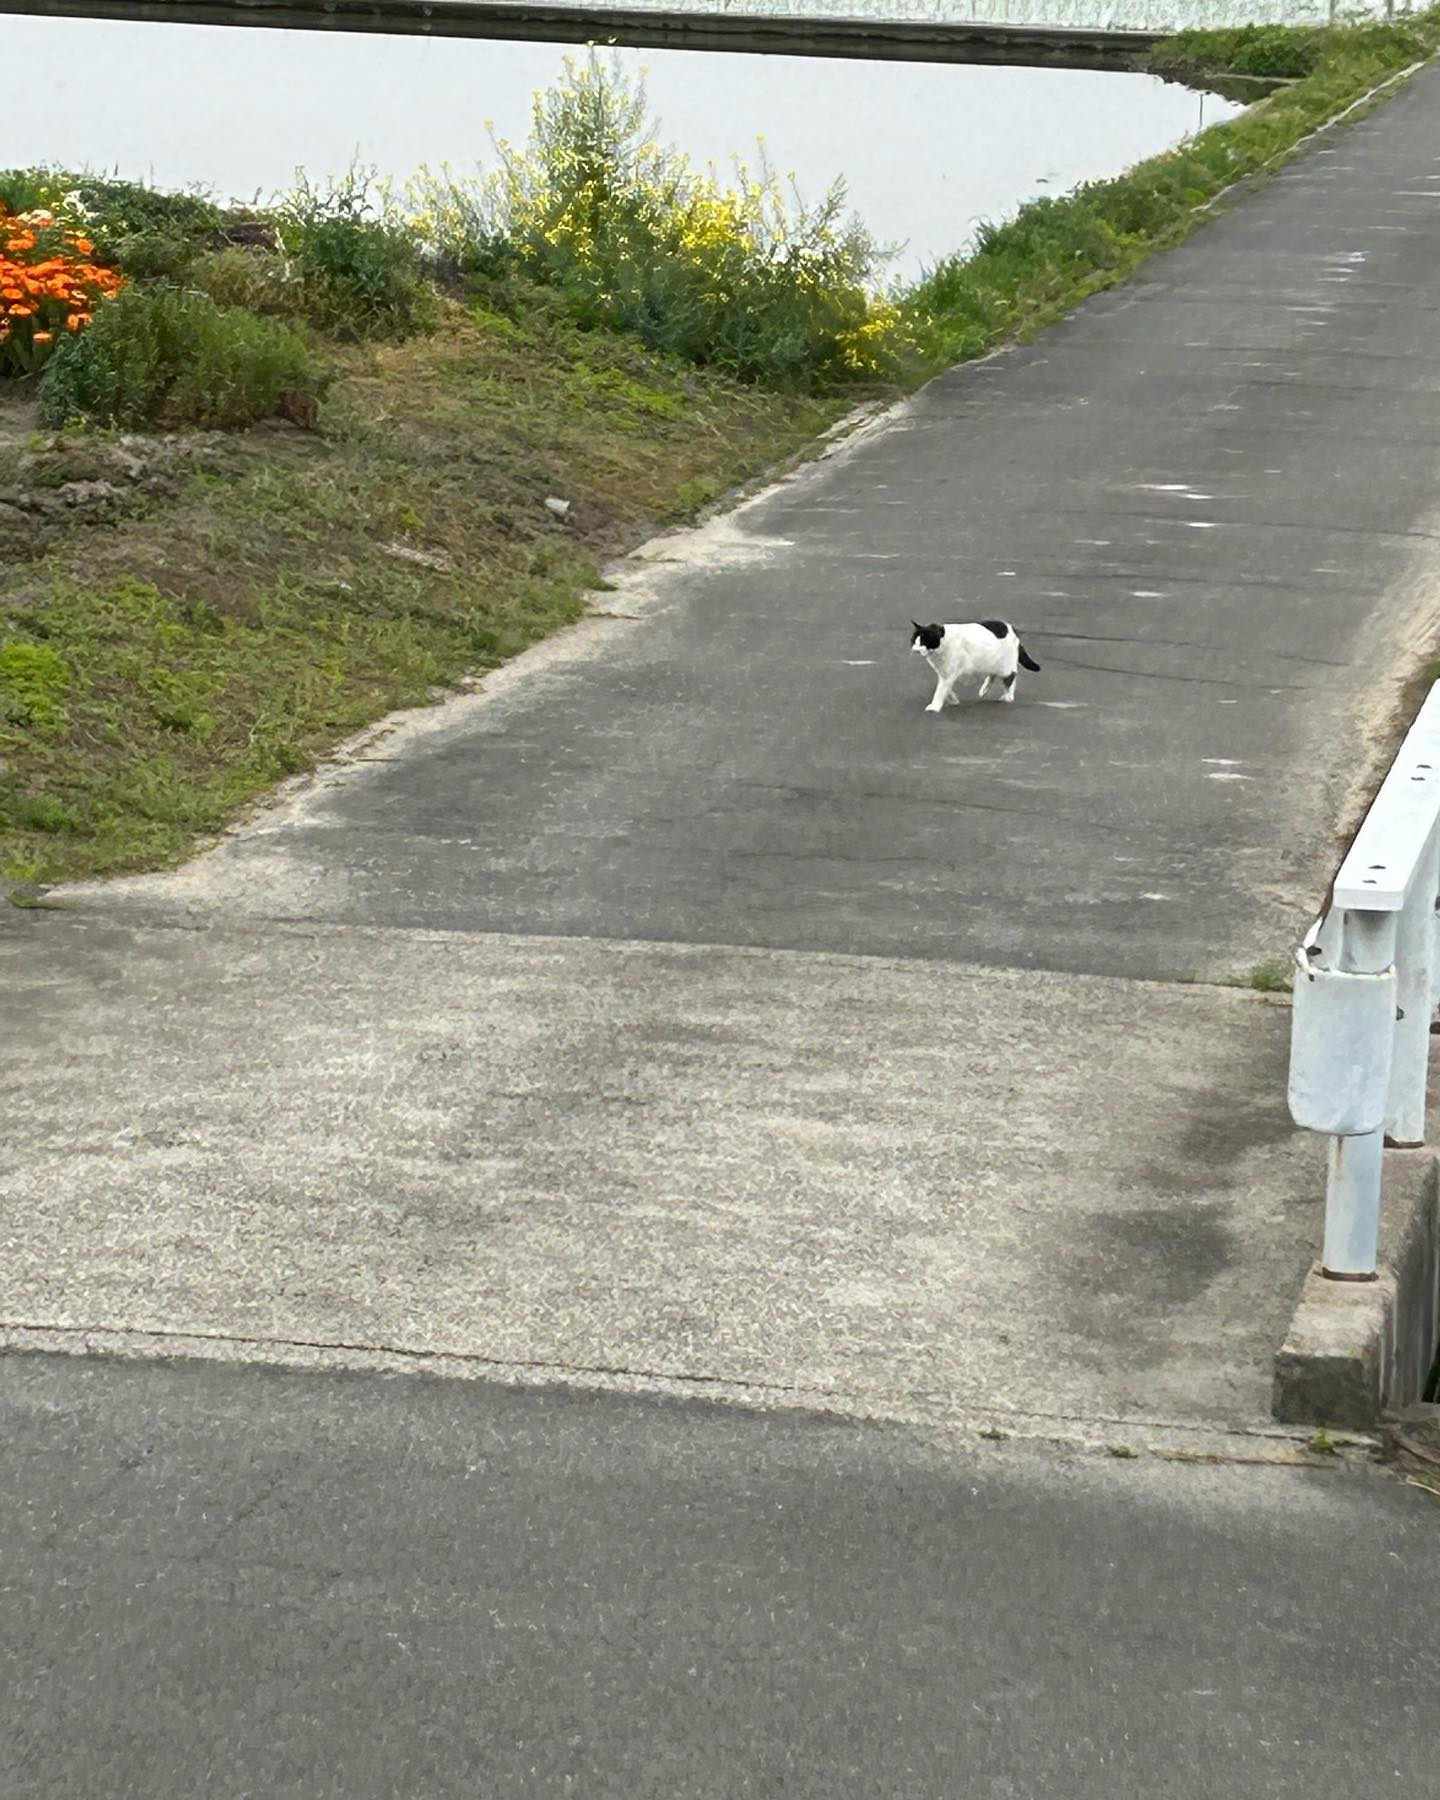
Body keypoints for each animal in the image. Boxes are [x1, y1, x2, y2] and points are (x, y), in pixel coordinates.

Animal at [907, 615, 1044, 705]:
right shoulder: (943, 673)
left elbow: (941, 689)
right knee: (995, 675)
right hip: (991, 662)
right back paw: (985, 690)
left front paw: (934, 706)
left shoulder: (950, 672)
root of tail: (1012, 629)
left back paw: (1008, 696)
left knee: (1012, 675)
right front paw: (952, 699)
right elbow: (945, 687)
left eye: (923, 642)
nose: (915, 649)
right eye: (914, 640)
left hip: (1005, 665)